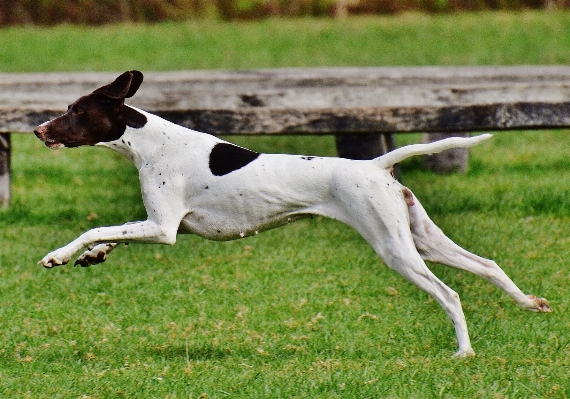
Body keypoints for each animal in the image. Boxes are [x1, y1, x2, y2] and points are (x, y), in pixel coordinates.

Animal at [33, 70, 548, 358]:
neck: (151, 143)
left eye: (75, 111)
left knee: (450, 294)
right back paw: (530, 304)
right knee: (487, 265)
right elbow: (110, 234)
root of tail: (375, 166)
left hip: (396, 250)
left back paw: (464, 352)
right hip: (423, 238)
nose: (38, 130)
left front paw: (59, 254)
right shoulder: (159, 225)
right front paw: (92, 255)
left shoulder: (163, 229)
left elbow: (95, 227)